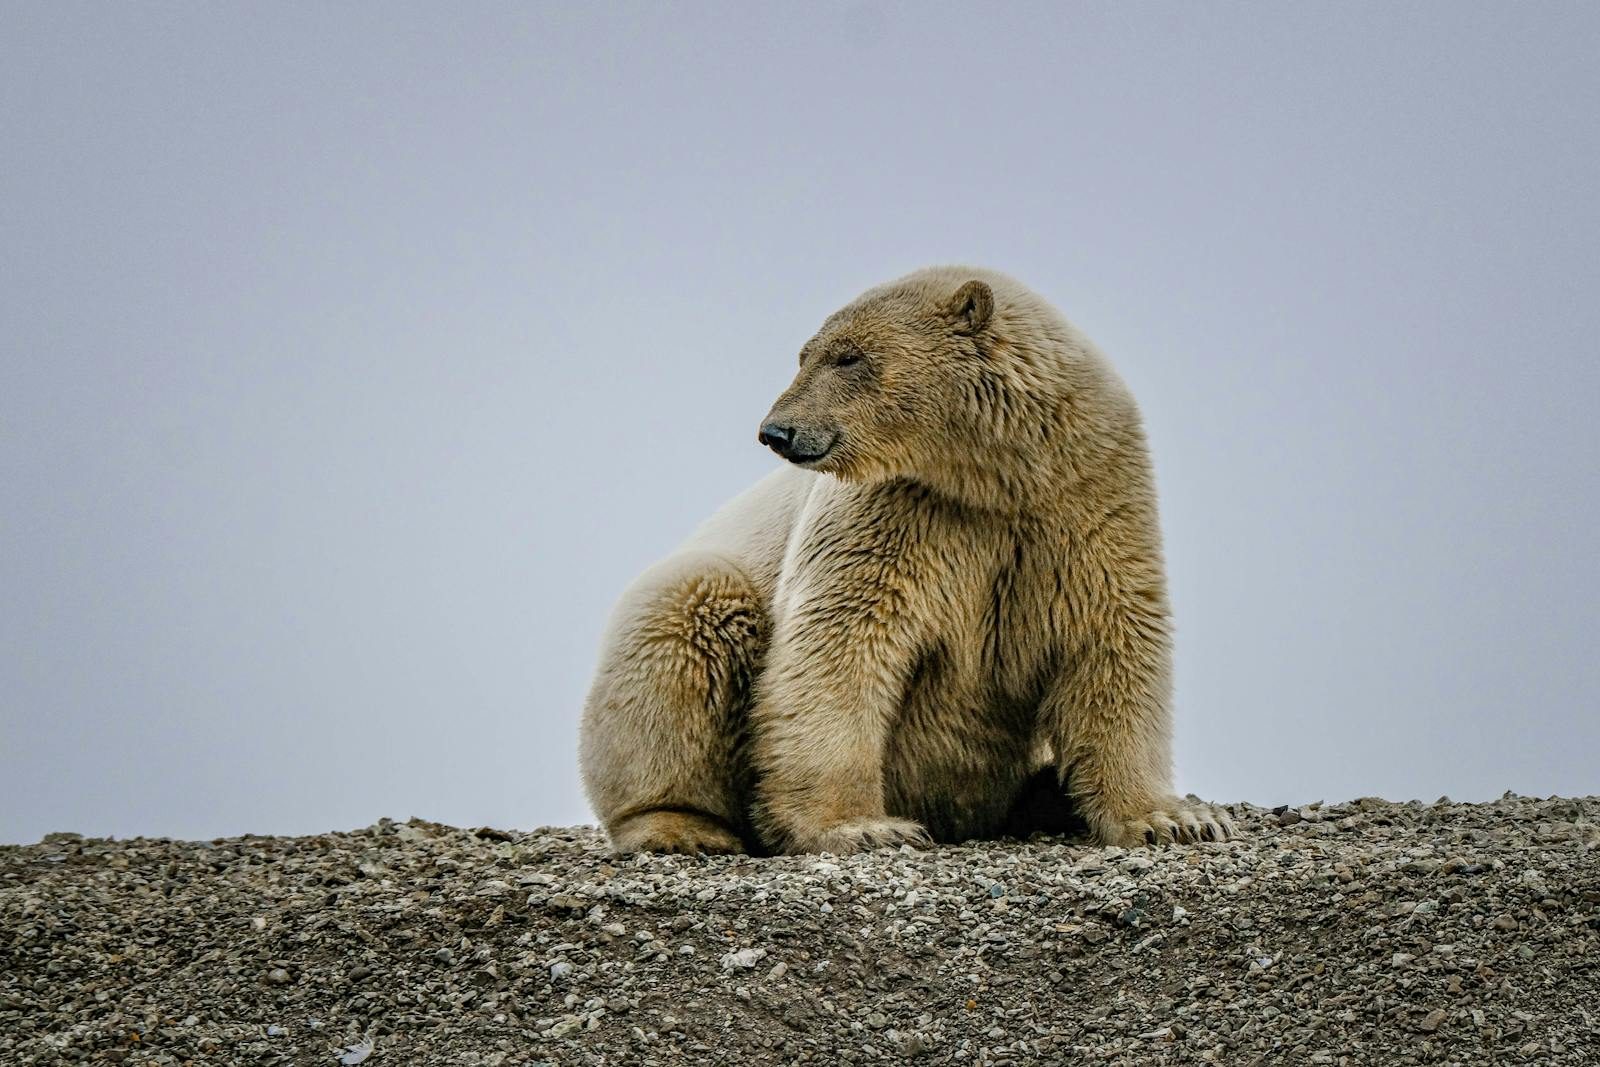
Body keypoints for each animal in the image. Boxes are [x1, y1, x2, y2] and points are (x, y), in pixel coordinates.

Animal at [578, 266, 1235, 855]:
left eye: (848, 358)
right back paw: (680, 827)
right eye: (805, 354)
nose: (775, 431)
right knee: (686, 617)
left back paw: (1049, 794)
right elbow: (839, 643)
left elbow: (1111, 636)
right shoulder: (891, 513)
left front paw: (1176, 818)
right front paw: (862, 827)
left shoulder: (1089, 499)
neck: (994, 478)